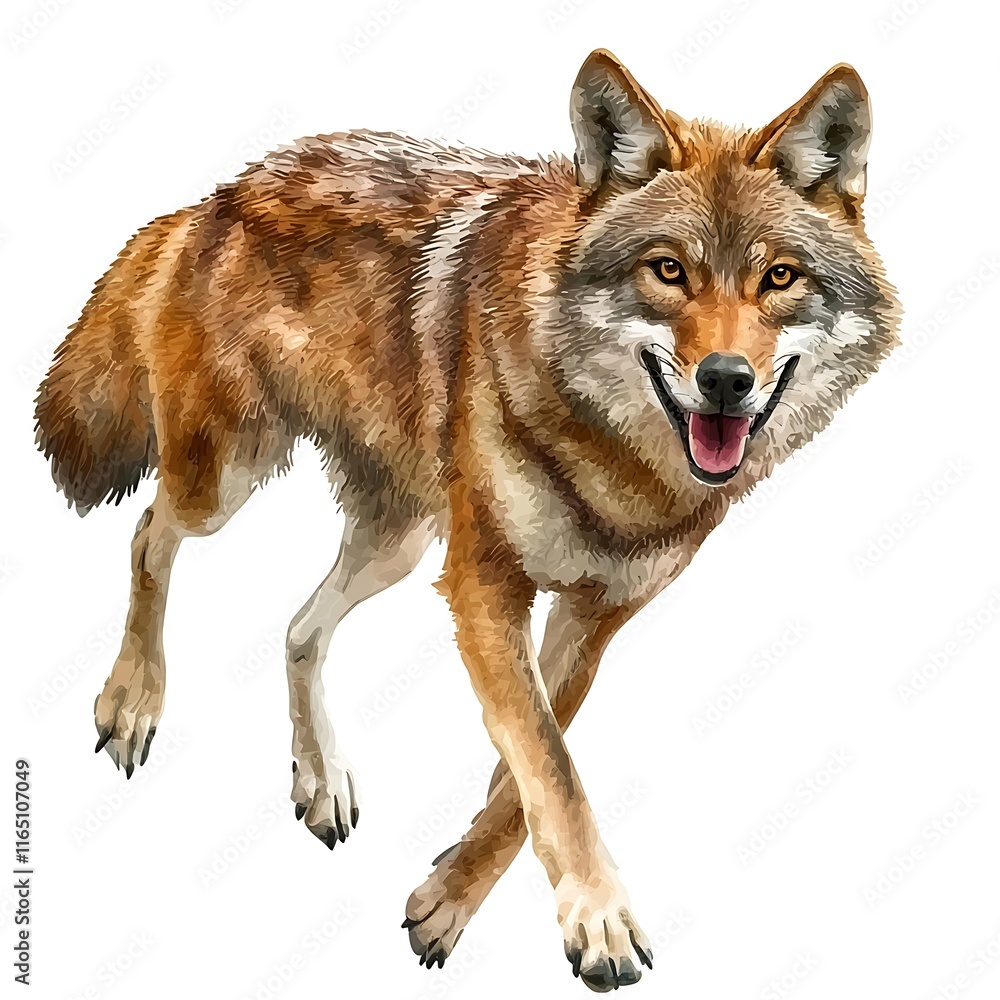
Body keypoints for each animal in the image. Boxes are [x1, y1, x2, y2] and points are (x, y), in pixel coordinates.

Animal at [35, 49, 899, 991]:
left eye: (779, 277)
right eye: (668, 270)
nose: (726, 380)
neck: (615, 464)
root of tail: (215, 197)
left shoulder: (593, 618)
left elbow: (521, 781)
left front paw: (451, 897)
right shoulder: (484, 589)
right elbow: (551, 766)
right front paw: (600, 919)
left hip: (399, 545)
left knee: (297, 629)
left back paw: (320, 778)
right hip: (226, 484)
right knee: (148, 532)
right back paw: (131, 700)